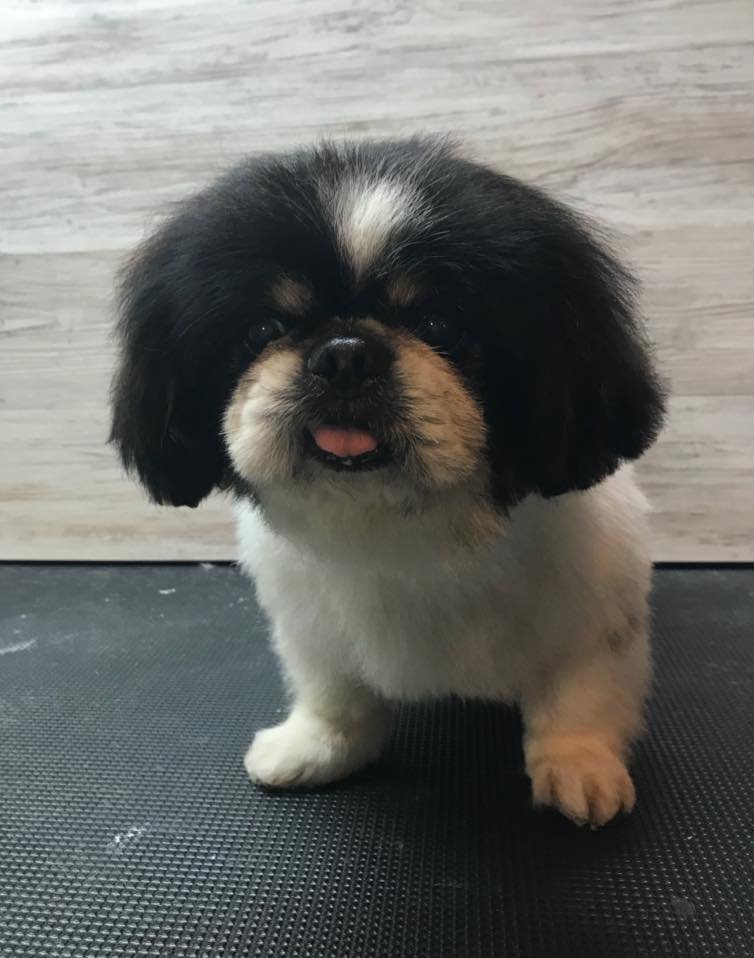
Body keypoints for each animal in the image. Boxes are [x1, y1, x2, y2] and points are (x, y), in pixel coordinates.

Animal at [111, 139, 664, 828]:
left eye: (439, 325)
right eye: (264, 329)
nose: (346, 352)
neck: (400, 526)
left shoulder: (592, 617)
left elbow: (580, 698)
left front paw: (579, 766)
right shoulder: (312, 628)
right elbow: (334, 694)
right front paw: (317, 745)